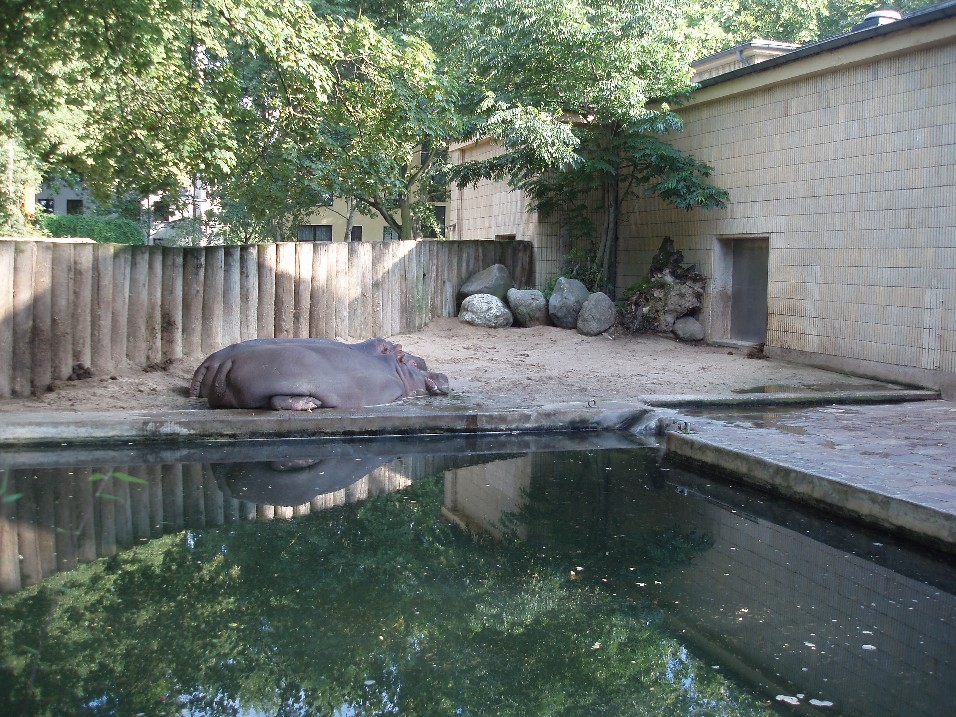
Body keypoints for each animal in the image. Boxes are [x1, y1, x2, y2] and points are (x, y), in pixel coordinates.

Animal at [201, 341, 449, 410]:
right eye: (414, 364)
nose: (443, 375)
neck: (397, 371)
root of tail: (228, 361)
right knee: (276, 401)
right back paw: (309, 404)